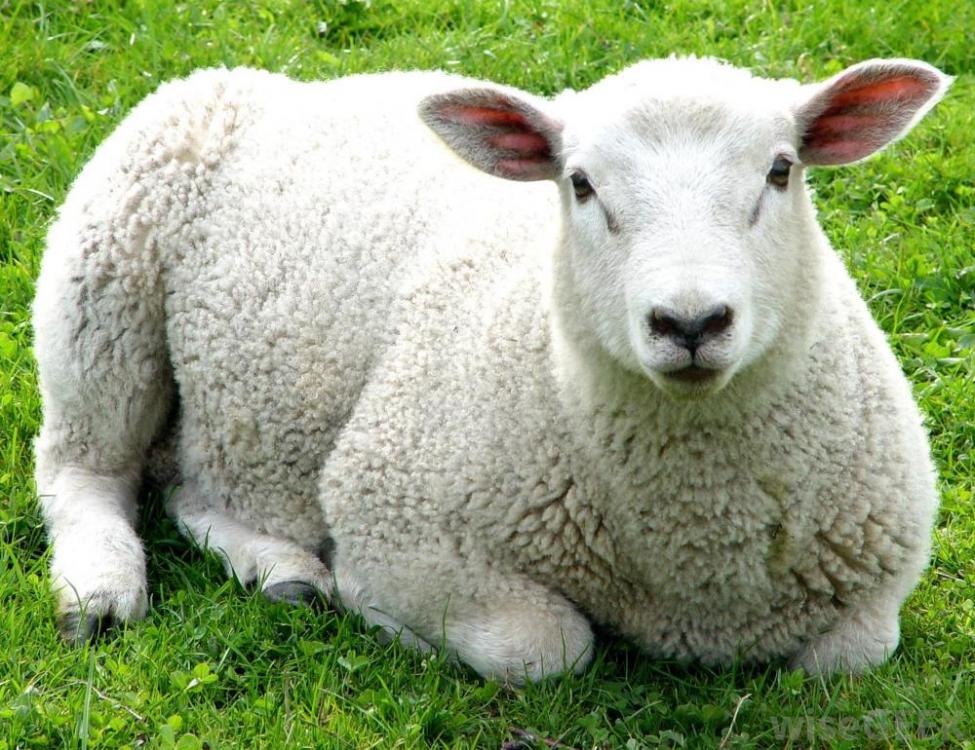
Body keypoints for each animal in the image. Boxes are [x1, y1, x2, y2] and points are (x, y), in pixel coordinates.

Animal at [33, 56, 950, 684]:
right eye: (579, 184)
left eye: (780, 170)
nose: (689, 323)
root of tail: (290, 83)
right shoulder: (391, 511)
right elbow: (541, 647)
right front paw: (379, 612)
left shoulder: (877, 591)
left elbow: (852, 656)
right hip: (100, 277)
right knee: (83, 469)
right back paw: (101, 589)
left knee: (186, 483)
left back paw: (282, 571)